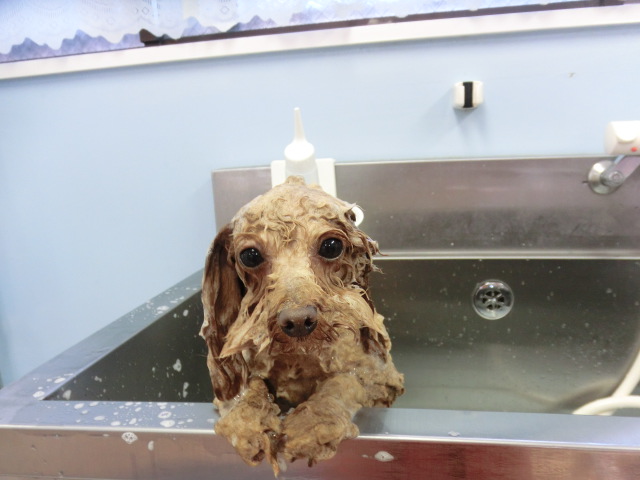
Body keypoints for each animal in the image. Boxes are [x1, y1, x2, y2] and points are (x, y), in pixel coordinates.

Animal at [200, 176, 404, 474]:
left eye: (331, 246)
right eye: (250, 256)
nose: (298, 321)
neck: (300, 356)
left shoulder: (381, 379)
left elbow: (343, 382)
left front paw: (313, 424)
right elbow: (248, 388)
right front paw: (246, 418)